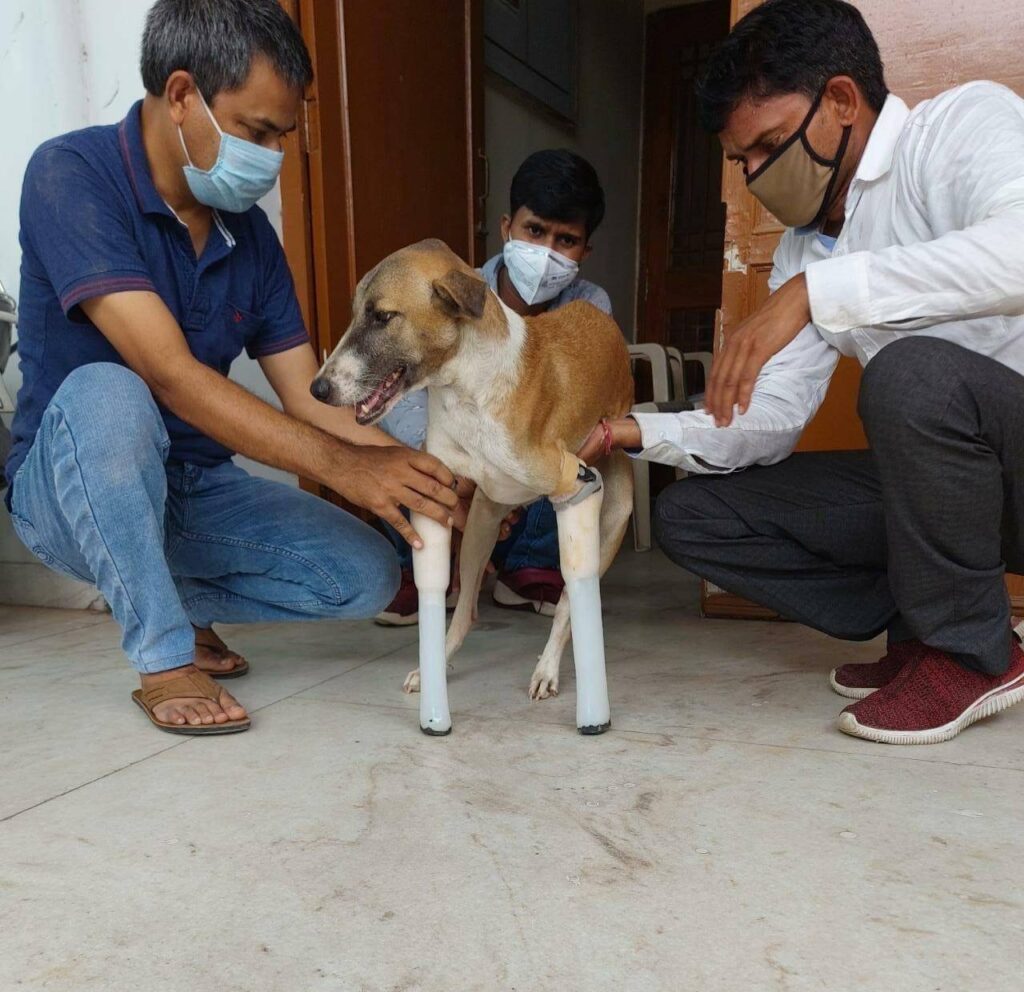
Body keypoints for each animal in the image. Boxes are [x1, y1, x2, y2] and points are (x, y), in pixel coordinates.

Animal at [311, 238, 630, 732]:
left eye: (382, 316)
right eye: (355, 313)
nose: (318, 390)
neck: (466, 389)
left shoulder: (574, 480)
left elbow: (570, 602)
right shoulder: (436, 486)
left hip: (612, 518)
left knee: (567, 604)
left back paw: (547, 669)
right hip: (482, 520)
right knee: (466, 610)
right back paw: (438, 662)